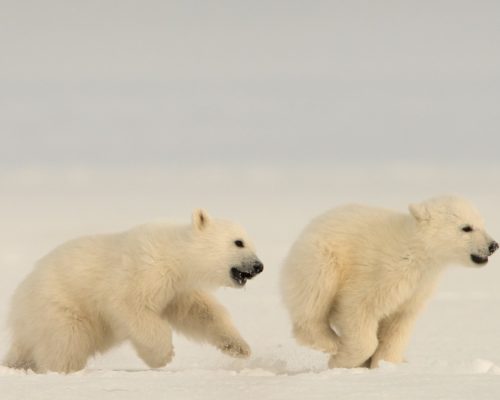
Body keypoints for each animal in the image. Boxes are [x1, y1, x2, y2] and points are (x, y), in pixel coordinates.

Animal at [4, 211, 262, 374]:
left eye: (251, 242)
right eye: (239, 242)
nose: (259, 266)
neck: (174, 254)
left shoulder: (178, 289)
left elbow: (200, 312)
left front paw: (239, 347)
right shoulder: (145, 270)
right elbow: (130, 306)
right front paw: (163, 356)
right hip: (60, 305)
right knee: (67, 341)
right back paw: (65, 369)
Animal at [282, 195, 496, 368]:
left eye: (482, 223)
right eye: (466, 227)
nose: (493, 245)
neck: (415, 251)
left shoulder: (418, 288)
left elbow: (399, 324)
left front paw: (384, 364)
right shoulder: (381, 272)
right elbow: (358, 307)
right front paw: (341, 360)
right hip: (321, 258)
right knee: (314, 296)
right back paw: (329, 342)